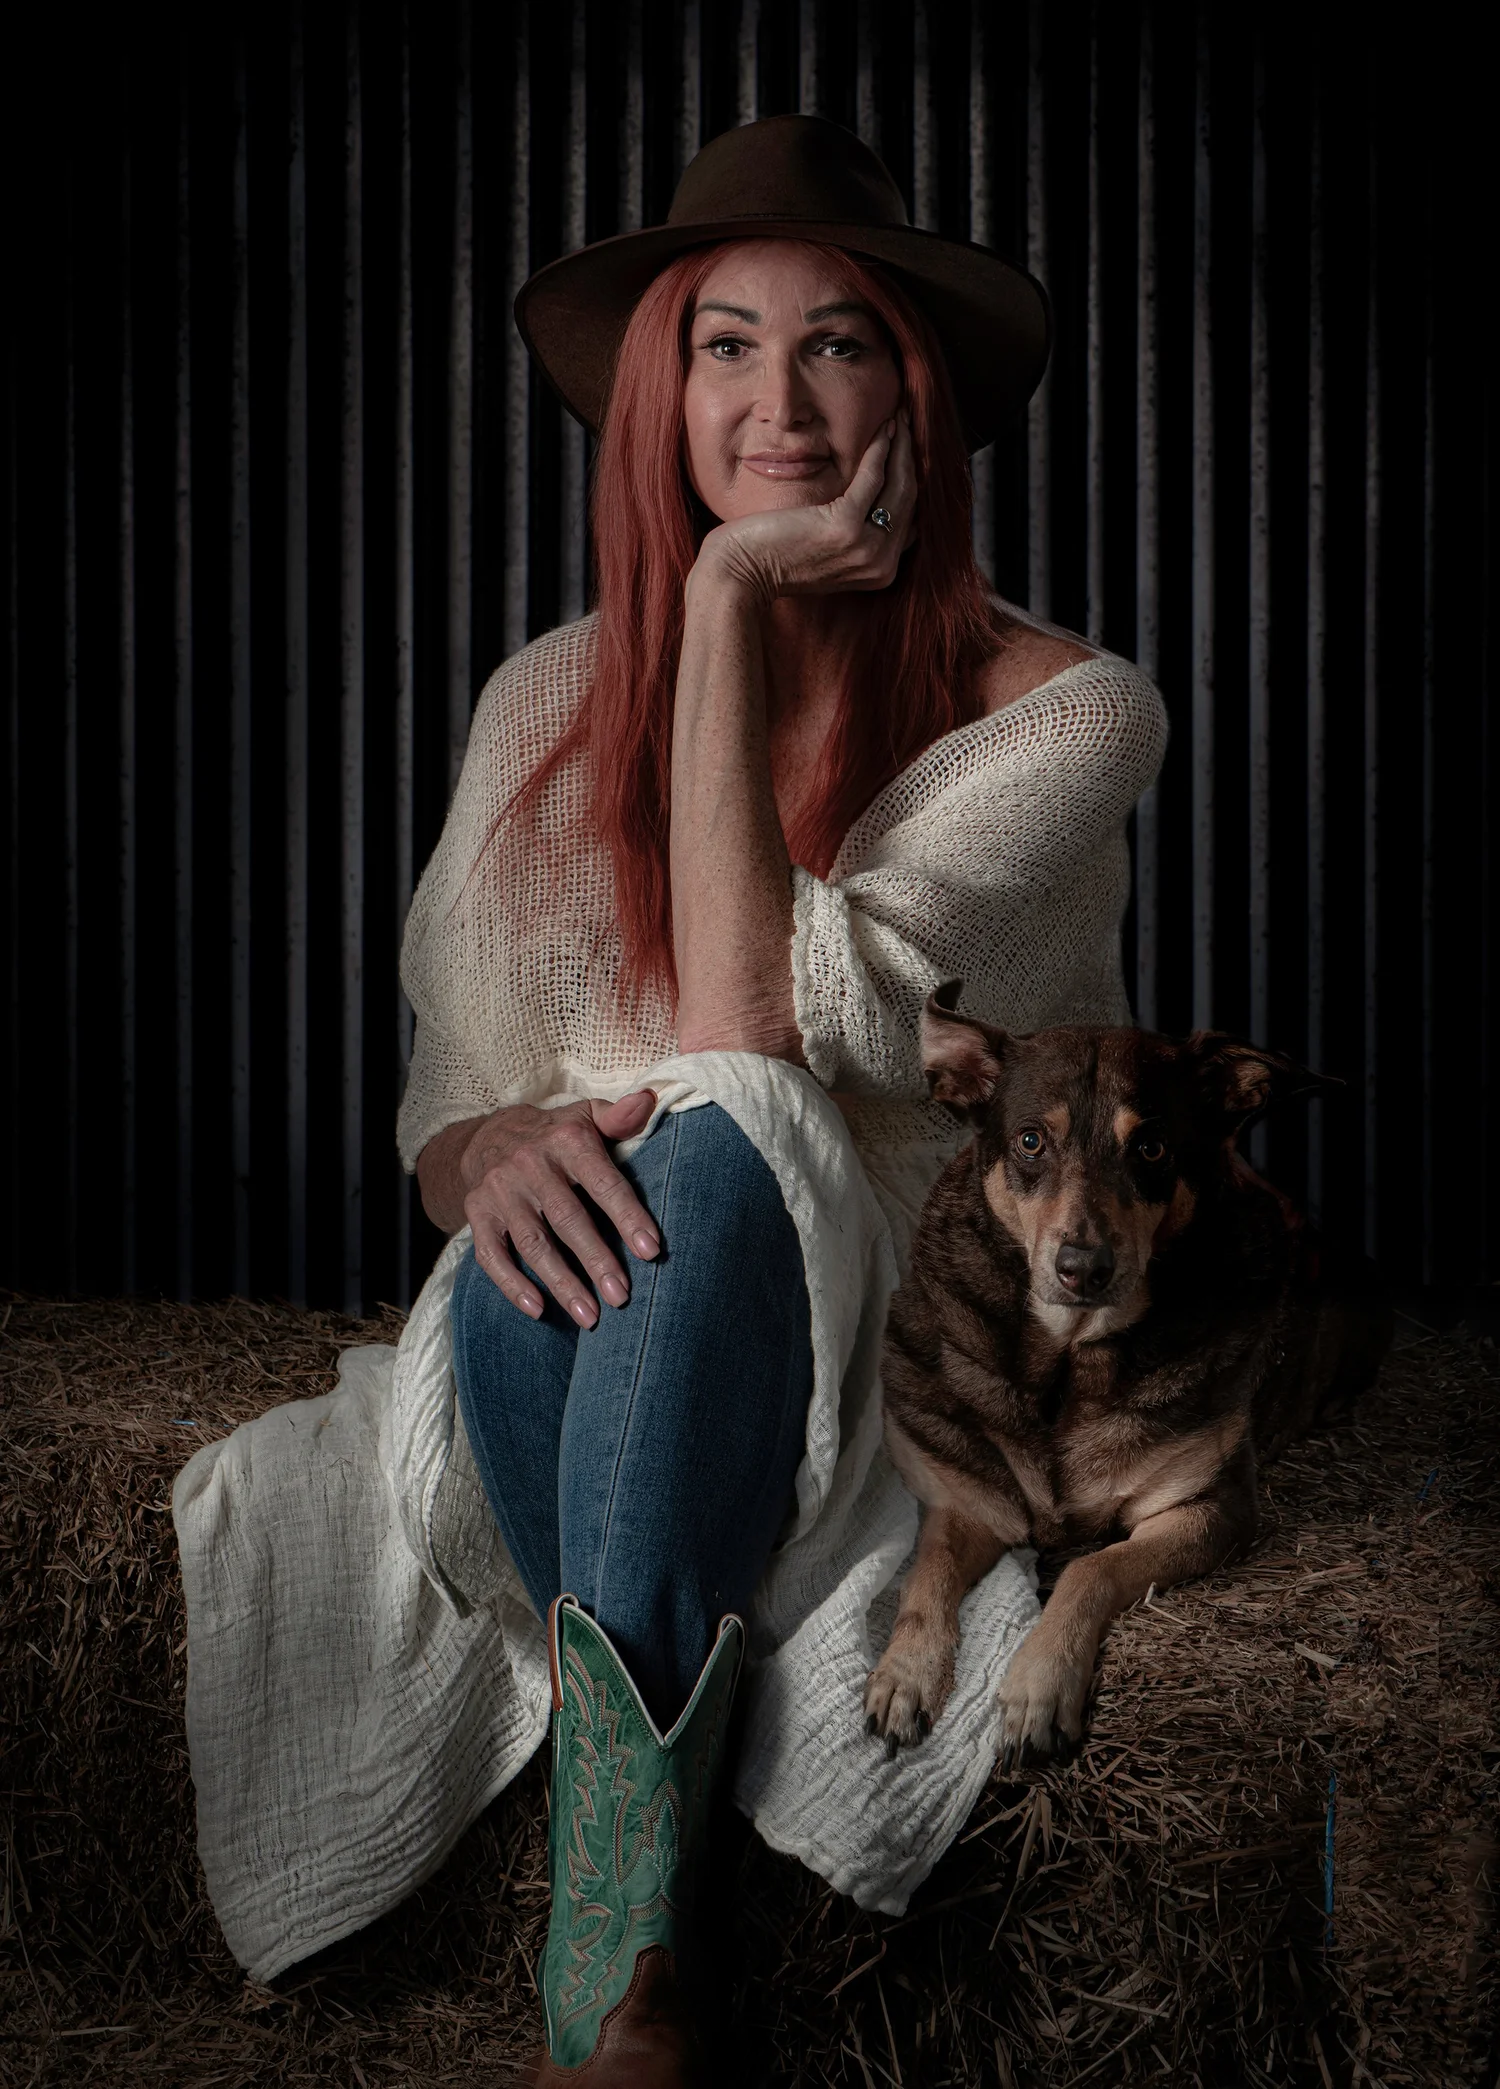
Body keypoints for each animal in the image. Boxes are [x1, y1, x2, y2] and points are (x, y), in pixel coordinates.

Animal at [863, 983, 1390, 1767]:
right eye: (1030, 1141)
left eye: (1151, 1146)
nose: (1082, 1267)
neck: (1072, 1358)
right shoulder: (972, 1507)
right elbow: (925, 1578)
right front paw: (904, 1674)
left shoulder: (1209, 1508)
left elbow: (1093, 1567)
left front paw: (1039, 1683)